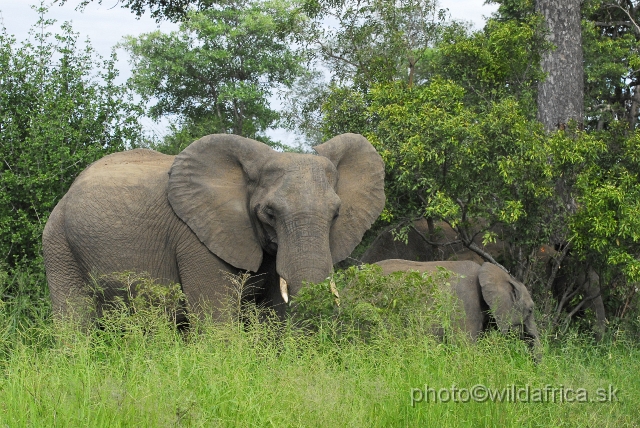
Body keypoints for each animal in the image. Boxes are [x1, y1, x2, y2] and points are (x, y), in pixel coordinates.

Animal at [45, 133, 388, 320]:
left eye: (336, 214)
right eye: (269, 213)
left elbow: (272, 316)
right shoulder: (196, 238)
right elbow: (216, 321)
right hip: (58, 243)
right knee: (75, 320)